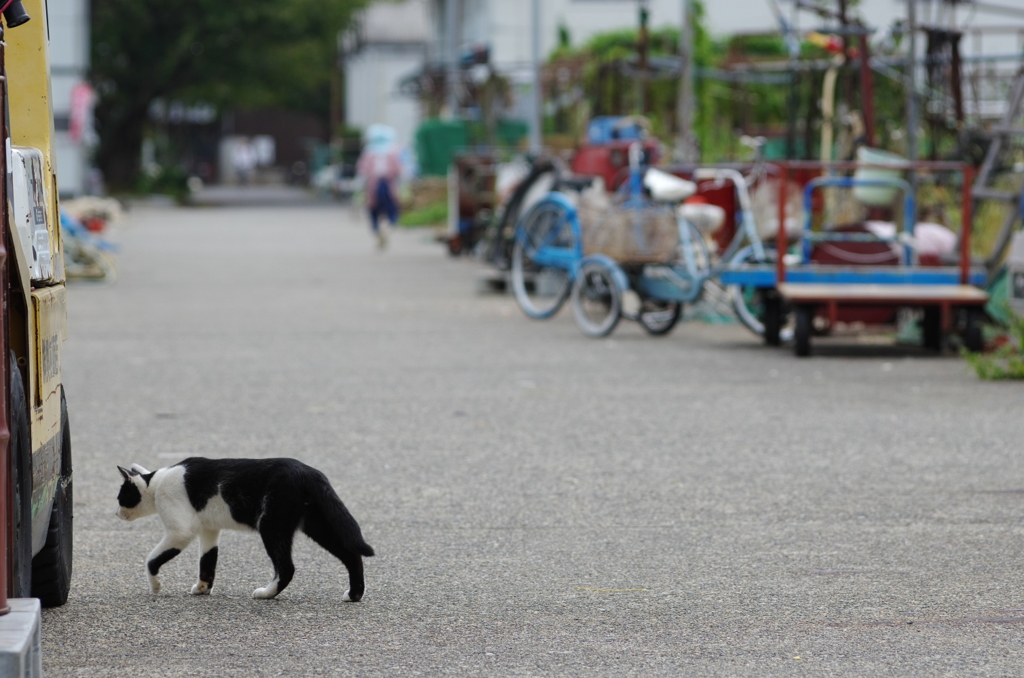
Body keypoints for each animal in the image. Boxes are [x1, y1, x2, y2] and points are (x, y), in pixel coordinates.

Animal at [117, 458, 372, 602]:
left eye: (120, 497)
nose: (116, 514)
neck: (156, 483)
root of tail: (308, 471)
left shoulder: (180, 532)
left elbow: (151, 560)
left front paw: (156, 587)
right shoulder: (209, 530)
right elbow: (207, 561)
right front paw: (202, 588)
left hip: (271, 525)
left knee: (286, 567)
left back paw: (266, 593)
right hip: (316, 524)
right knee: (351, 554)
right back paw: (354, 595)